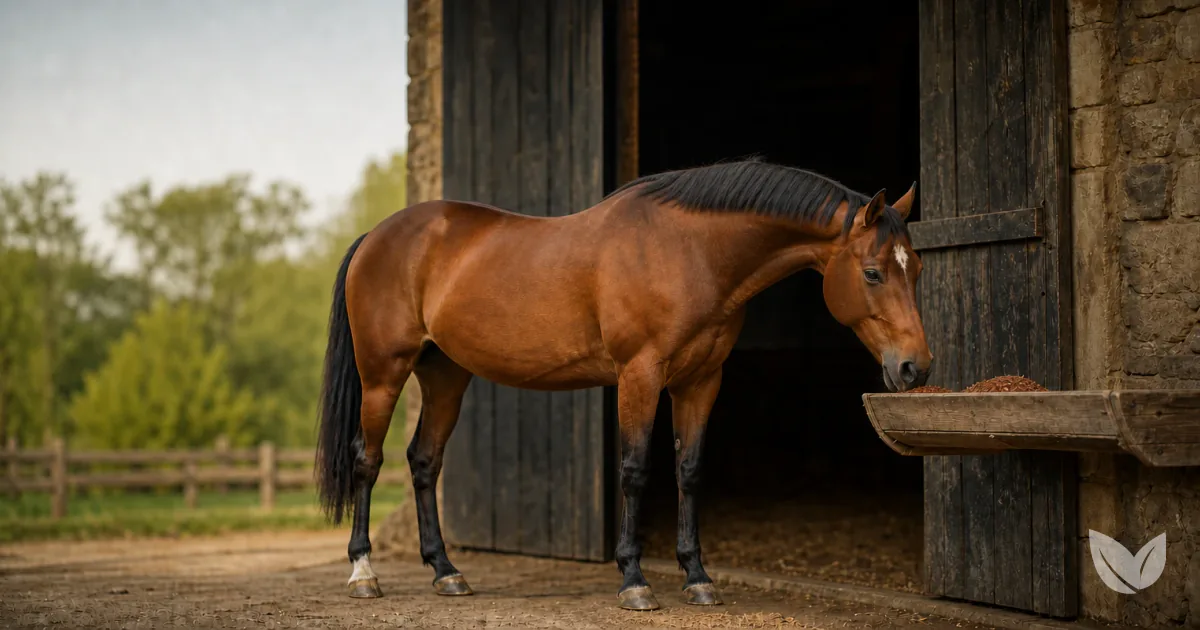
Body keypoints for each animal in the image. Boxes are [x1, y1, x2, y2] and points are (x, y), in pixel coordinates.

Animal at [314, 158, 932, 611]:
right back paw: (363, 574)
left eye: (917, 270)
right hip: (383, 374)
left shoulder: (701, 381)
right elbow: (635, 470)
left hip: (445, 375)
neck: (688, 251)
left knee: (424, 462)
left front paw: (698, 577)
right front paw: (634, 580)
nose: (915, 368)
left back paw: (446, 572)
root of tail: (376, 236)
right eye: (873, 272)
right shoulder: (641, 373)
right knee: (368, 460)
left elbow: (690, 471)